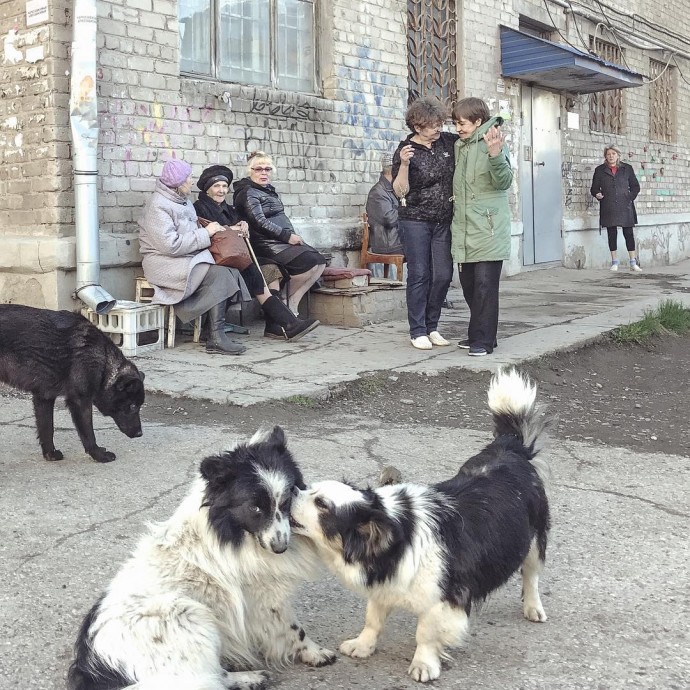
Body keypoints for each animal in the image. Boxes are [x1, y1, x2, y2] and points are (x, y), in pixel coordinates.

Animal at [0, 302, 144, 460]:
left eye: (139, 406)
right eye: (133, 406)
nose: (140, 434)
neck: (103, 361)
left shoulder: (44, 398)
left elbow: (47, 429)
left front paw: (50, 454)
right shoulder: (80, 401)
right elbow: (88, 433)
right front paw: (98, 455)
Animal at [68, 424, 336, 688]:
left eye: (287, 500)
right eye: (255, 507)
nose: (280, 548)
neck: (232, 531)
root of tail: (95, 669)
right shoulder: (266, 599)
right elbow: (294, 630)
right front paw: (315, 653)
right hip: (192, 616)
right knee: (213, 676)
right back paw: (250, 678)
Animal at [288, 368, 548, 680]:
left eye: (322, 504)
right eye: (309, 489)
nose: (290, 489)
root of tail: (510, 448)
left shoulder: (442, 601)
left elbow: (425, 633)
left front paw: (424, 664)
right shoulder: (385, 584)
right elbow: (373, 619)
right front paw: (363, 645)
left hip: (534, 542)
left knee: (531, 576)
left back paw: (533, 607)